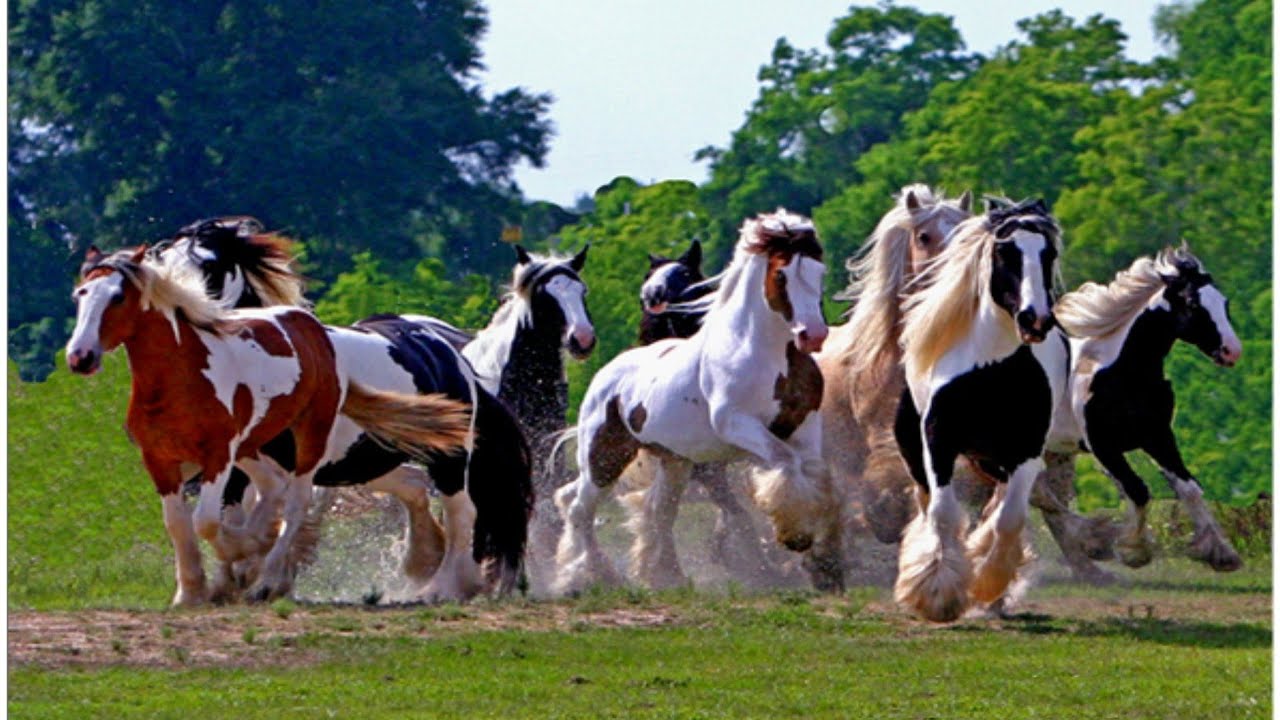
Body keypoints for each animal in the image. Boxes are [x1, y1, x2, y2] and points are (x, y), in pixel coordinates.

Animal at [66, 246, 472, 606]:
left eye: (118, 296)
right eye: (80, 294)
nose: (80, 357)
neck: (181, 379)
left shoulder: (219, 456)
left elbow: (206, 522)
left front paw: (242, 557)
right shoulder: (161, 460)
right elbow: (179, 525)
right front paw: (192, 592)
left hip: (319, 441)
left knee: (301, 503)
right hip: (287, 452)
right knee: (301, 488)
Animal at [150, 217, 533, 602]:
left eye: (211, 266)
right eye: (164, 266)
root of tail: (447, 352)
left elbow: (281, 513)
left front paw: (264, 577)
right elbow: (216, 519)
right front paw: (220, 583)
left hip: (447, 459)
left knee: (461, 511)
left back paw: (444, 587)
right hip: (367, 461)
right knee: (414, 484)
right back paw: (422, 560)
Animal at [552, 209, 834, 596]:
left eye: (819, 270)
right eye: (781, 274)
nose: (813, 335)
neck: (767, 354)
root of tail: (604, 376)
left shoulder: (806, 424)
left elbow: (814, 473)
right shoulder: (737, 423)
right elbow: (784, 462)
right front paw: (794, 536)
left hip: (675, 461)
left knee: (658, 510)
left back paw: (664, 576)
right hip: (605, 457)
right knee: (579, 507)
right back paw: (589, 577)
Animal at [892, 198, 1065, 622]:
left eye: (1049, 253)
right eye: (1006, 252)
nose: (1035, 319)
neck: (991, 371)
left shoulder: (1027, 451)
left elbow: (1009, 519)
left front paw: (987, 583)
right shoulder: (938, 441)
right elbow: (942, 512)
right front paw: (936, 594)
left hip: (995, 460)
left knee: (998, 506)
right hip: (917, 450)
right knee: (927, 503)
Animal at [1051, 243, 1243, 572]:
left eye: (1224, 302)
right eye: (1192, 304)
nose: (1232, 351)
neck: (1122, 371)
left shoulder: (1157, 436)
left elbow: (1189, 488)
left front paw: (1221, 553)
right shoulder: (1104, 446)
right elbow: (1138, 490)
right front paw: (1134, 551)